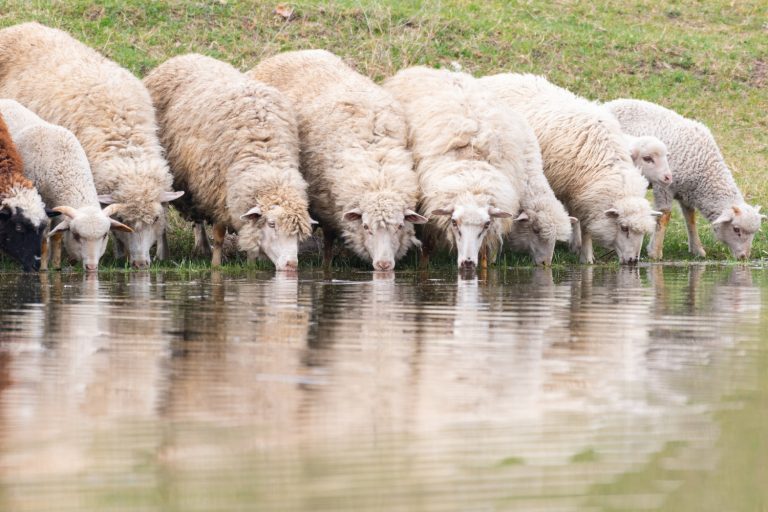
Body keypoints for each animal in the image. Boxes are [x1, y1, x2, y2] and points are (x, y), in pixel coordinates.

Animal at [143, 54, 314, 270]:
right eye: (272, 224)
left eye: (299, 234)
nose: (291, 264)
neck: (264, 155)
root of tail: (183, 56)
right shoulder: (217, 192)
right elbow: (218, 235)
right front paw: (216, 265)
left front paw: (251, 263)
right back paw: (164, 253)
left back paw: (201, 246)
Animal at [248, 50, 427, 271]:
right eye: (366, 226)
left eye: (400, 226)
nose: (384, 264)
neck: (377, 169)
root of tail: (292, 52)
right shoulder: (326, 206)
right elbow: (328, 240)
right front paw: (327, 266)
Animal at [384, 66, 571, 268]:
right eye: (454, 222)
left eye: (486, 224)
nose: (467, 262)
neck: (473, 174)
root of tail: (423, 68)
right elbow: (427, 246)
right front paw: (423, 266)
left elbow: (485, 257)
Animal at [478, 74, 660, 264]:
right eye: (624, 227)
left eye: (642, 233)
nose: (633, 261)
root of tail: (495, 76)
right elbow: (585, 226)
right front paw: (586, 257)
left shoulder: (580, 191)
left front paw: (578, 247)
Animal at [606, 98, 764, 260]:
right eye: (736, 229)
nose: (744, 257)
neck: (704, 170)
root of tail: (610, 103)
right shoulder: (664, 187)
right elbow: (664, 216)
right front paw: (655, 252)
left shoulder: (687, 193)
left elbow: (691, 218)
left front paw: (697, 249)